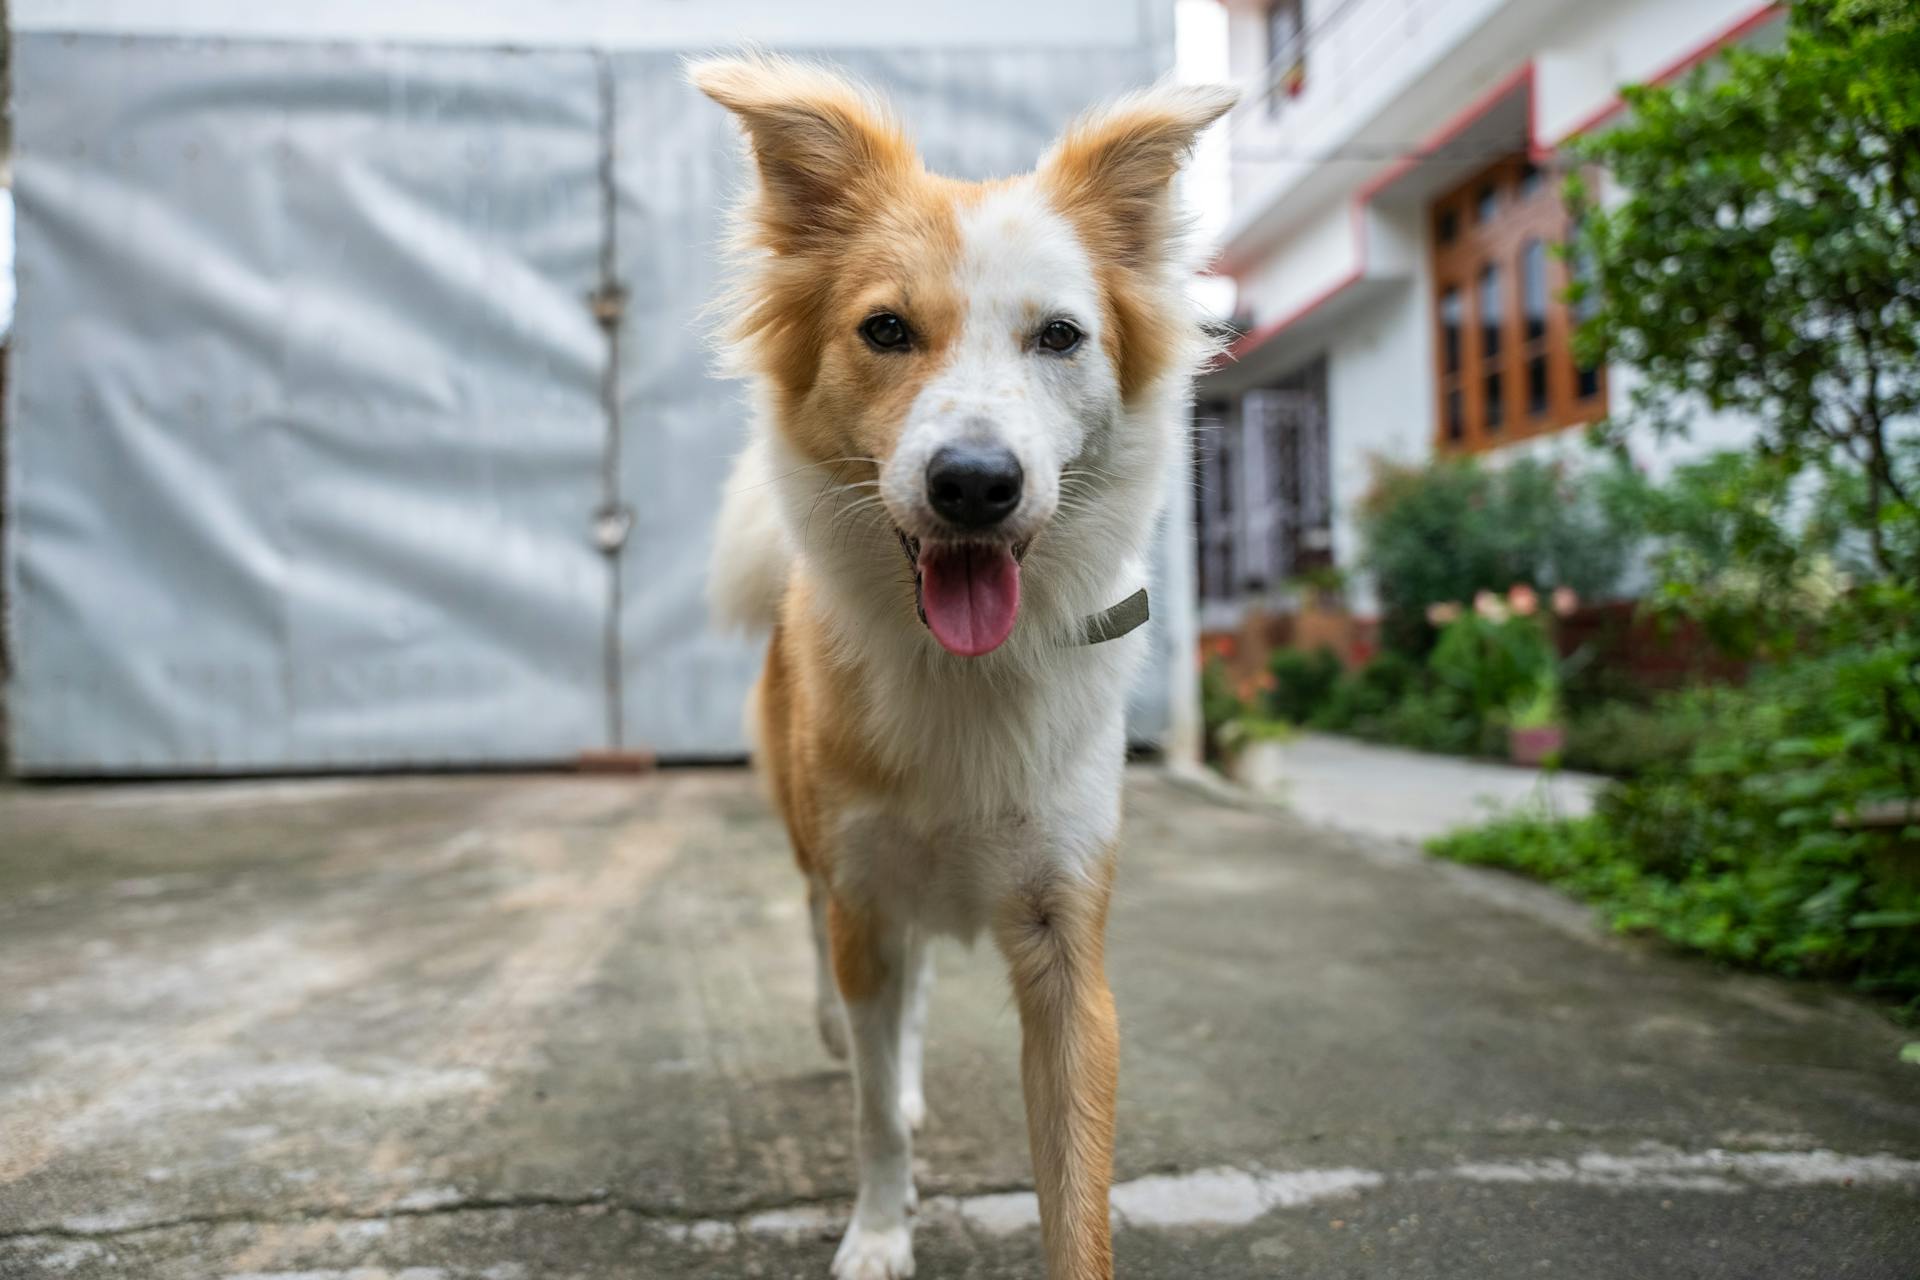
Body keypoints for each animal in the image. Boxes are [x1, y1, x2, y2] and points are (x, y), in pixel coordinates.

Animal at [698, 55, 1236, 1274]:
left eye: (1061, 337)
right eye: (887, 329)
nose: (976, 484)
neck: (966, 672)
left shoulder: (1065, 938)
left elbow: (1075, 1181)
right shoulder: (861, 895)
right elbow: (870, 1110)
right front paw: (878, 1232)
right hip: (815, 838)